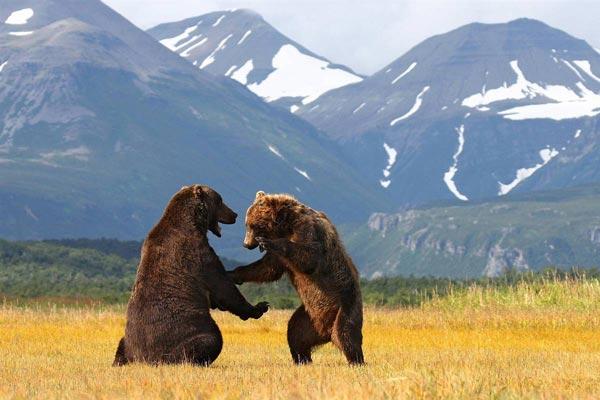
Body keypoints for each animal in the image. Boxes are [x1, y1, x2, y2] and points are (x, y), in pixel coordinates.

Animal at [113, 186, 268, 368]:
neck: (194, 223)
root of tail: (140, 358)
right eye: (220, 200)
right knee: (210, 339)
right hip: (184, 333)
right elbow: (223, 288)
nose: (235, 214)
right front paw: (259, 307)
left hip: (128, 341)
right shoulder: (199, 255)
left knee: (121, 344)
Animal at [227, 192, 364, 364]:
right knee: (296, 332)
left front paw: (269, 242)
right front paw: (232, 273)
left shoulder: (306, 229)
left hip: (346, 304)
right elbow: (267, 268)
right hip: (308, 316)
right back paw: (302, 359)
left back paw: (356, 361)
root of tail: (325, 331)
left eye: (253, 226)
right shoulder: (280, 258)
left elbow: (309, 257)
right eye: (247, 224)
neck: (284, 226)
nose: (246, 244)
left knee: (346, 334)